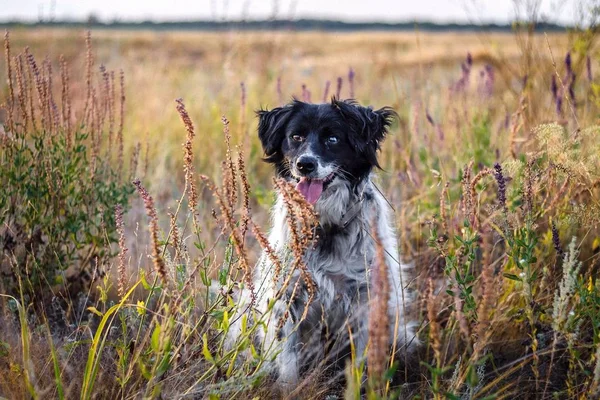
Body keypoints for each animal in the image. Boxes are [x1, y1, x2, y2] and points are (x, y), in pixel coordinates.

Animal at [225, 97, 418, 390]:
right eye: (296, 137)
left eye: (333, 139)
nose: (305, 164)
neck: (324, 224)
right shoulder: (287, 297)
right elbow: (287, 360)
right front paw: (289, 389)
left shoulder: (365, 299)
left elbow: (361, 361)